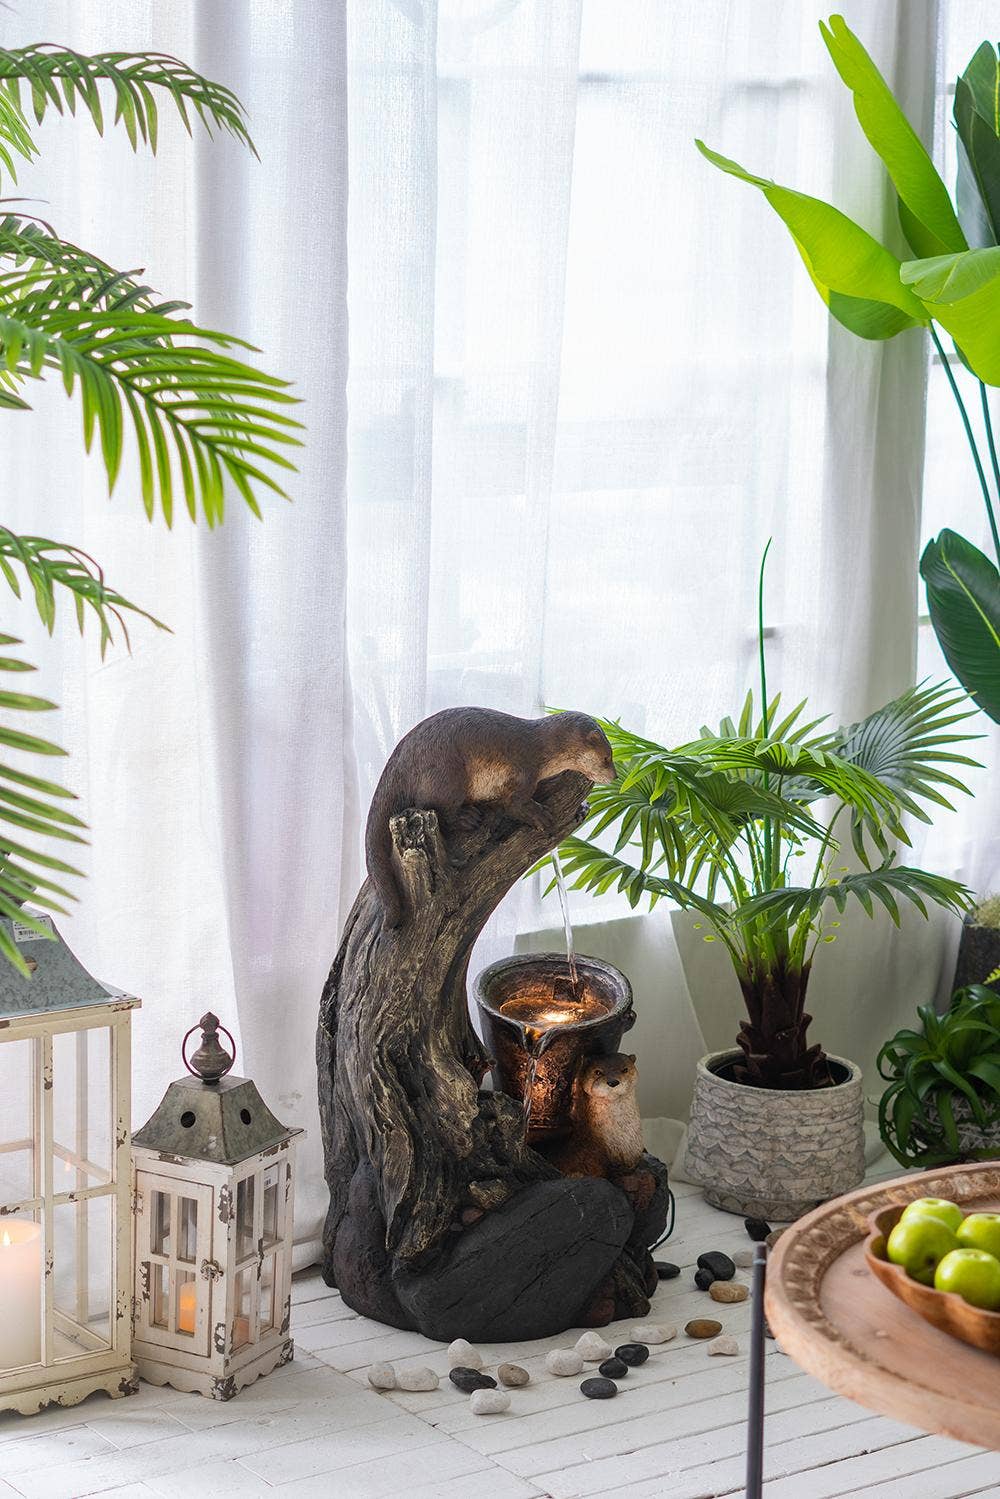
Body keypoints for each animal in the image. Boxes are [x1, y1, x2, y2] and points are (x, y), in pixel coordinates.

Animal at [365, 707, 615, 927]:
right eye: (606, 758)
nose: (614, 776)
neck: (541, 750)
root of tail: (400, 757)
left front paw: (579, 805)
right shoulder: (524, 772)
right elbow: (515, 803)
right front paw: (541, 816)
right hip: (447, 774)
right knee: (431, 804)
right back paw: (469, 817)